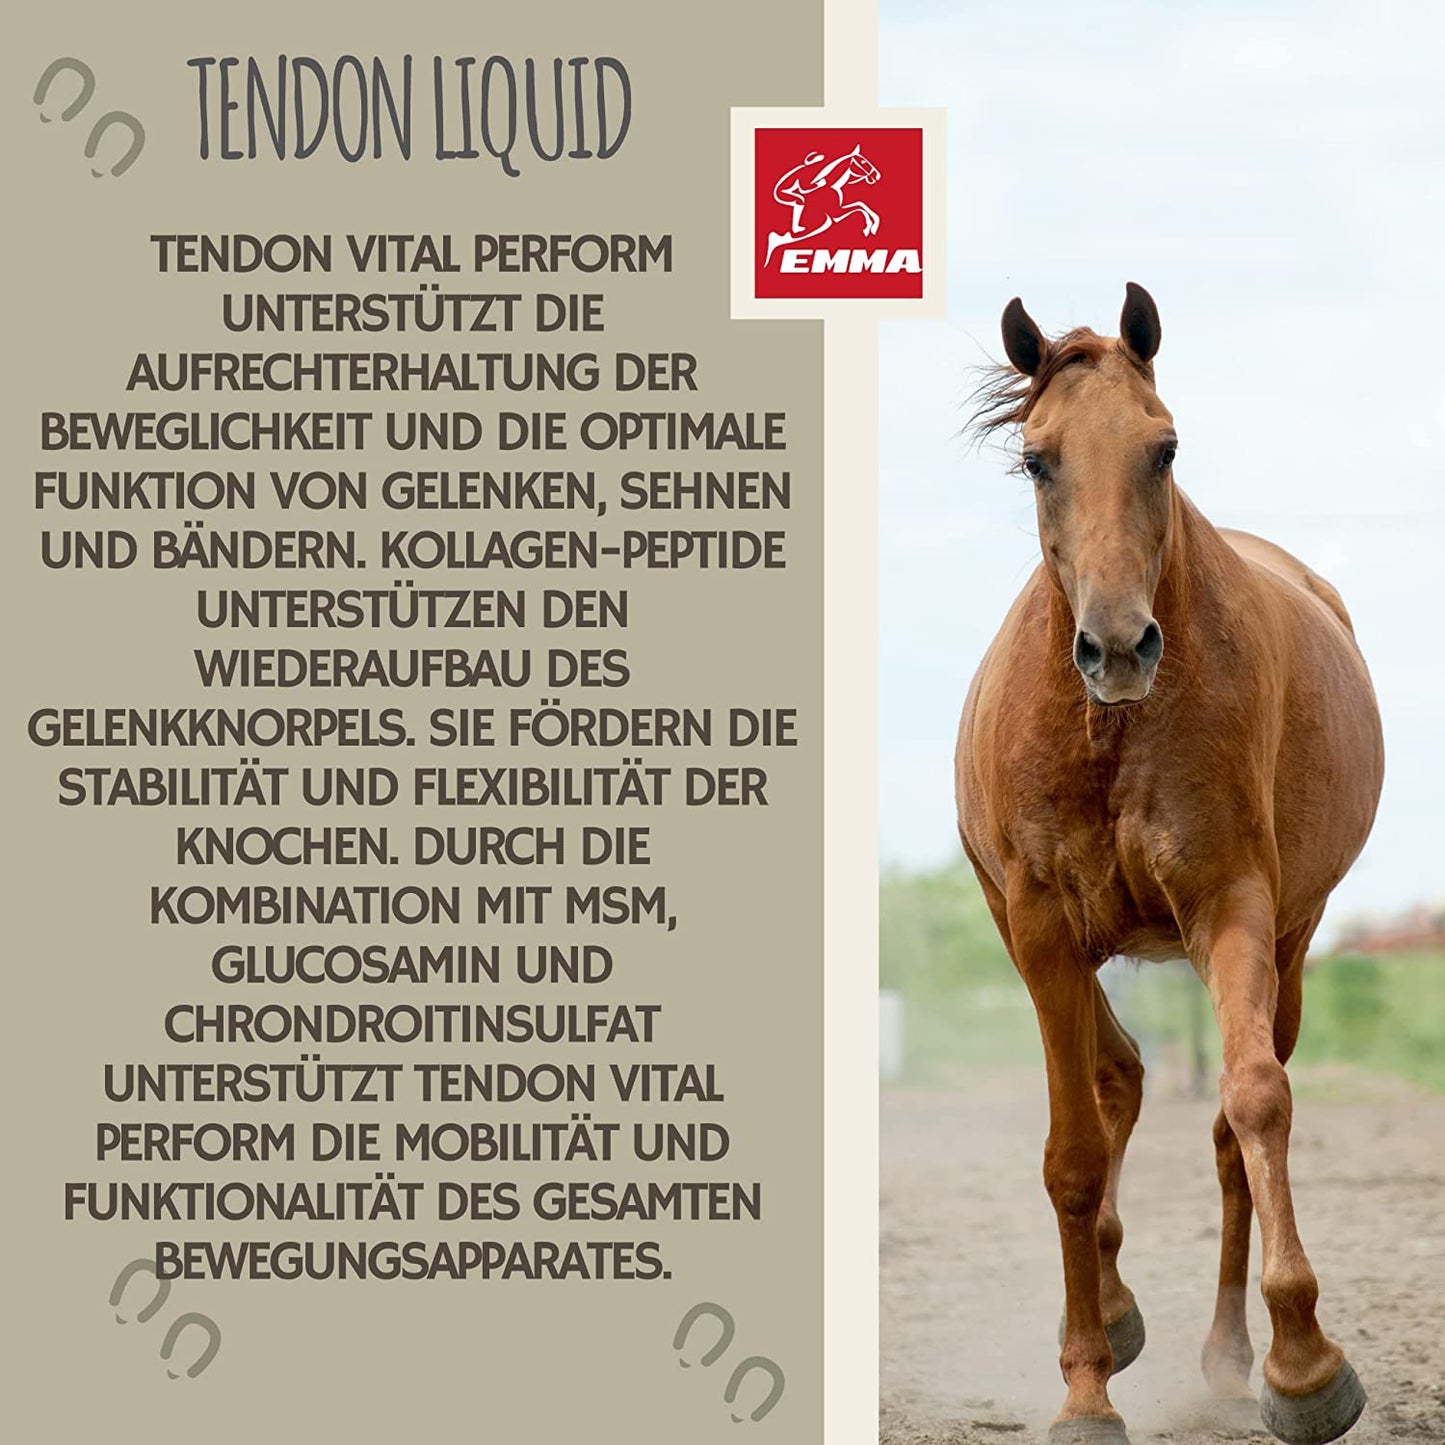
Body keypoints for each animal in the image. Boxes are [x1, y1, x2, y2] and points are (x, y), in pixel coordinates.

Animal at [954, 284, 1384, 1445]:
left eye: (1165, 447)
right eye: (1035, 459)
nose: (1116, 647)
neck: (1109, 732)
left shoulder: (1230, 905)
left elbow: (1255, 1100)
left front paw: (1302, 1363)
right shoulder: (1041, 928)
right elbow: (1069, 1152)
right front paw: (1084, 1388)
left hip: (1289, 939)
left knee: (1223, 1122)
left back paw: (1230, 1352)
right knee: (1116, 1076)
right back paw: (1110, 1307)